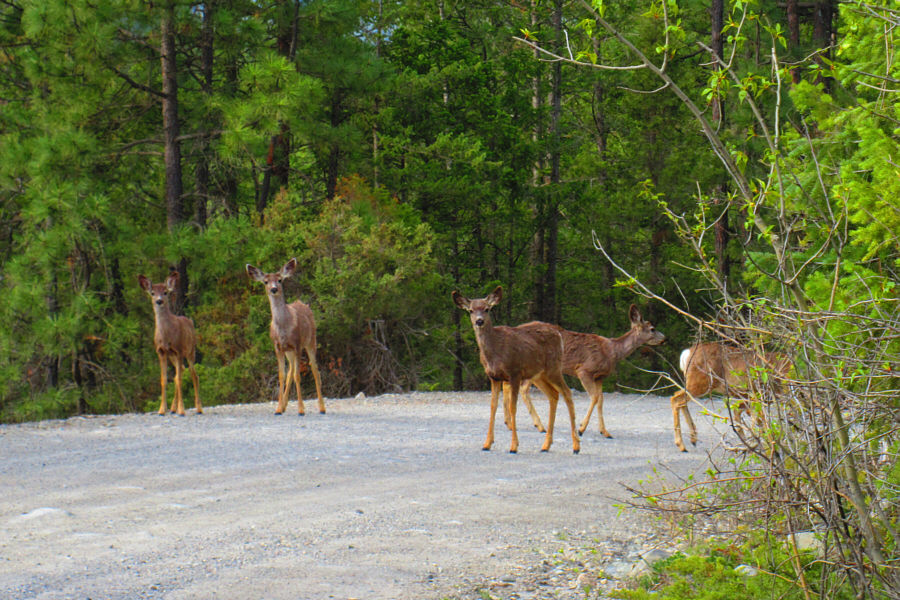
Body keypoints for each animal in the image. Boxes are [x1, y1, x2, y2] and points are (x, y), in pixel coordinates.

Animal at [138, 272, 202, 416]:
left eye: (165, 292)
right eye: (152, 293)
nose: (159, 301)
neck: (166, 336)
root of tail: (190, 321)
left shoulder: (179, 350)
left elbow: (179, 379)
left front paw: (182, 410)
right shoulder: (161, 351)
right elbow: (164, 379)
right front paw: (162, 410)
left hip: (190, 350)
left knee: (194, 375)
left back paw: (198, 408)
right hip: (173, 355)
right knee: (181, 371)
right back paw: (173, 408)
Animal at [246, 258, 325, 416]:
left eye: (280, 280)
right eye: (265, 281)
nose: (274, 289)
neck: (283, 328)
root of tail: (304, 304)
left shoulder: (297, 344)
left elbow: (298, 376)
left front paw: (301, 409)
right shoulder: (278, 347)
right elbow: (282, 375)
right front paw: (277, 409)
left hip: (311, 340)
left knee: (314, 369)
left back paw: (322, 408)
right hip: (289, 351)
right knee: (291, 371)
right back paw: (283, 406)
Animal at [452, 286, 580, 454]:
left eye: (487, 309)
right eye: (471, 310)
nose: (479, 321)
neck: (494, 352)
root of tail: (559, 335)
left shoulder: (514, 373)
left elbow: (512, 407)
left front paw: (513, 446)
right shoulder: (493, 377)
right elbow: (493, 407)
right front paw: (487, 443)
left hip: (554, 368)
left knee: (567, 393)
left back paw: (576, 445)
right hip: (539, 375)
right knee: (553, 395)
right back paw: (546, 445)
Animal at [516, 304, 666, 438]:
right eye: (652, 329)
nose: (665, 339)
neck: (612, 351)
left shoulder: (599, 377)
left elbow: (600, 400)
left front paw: (605, 432)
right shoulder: (584, 370)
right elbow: (594, 397)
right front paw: (581, 428)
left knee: (523, 388)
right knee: (523, 388)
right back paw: (539, 426)